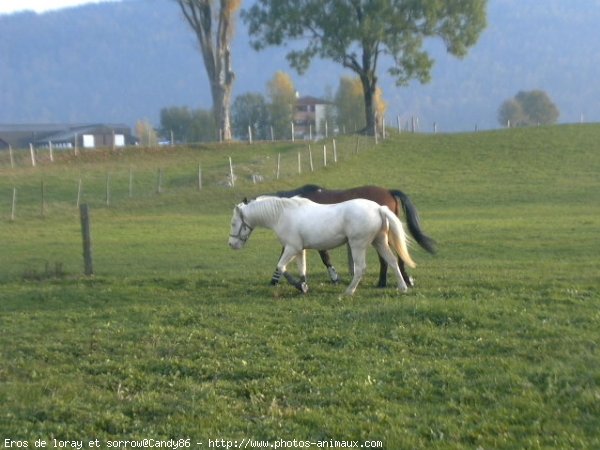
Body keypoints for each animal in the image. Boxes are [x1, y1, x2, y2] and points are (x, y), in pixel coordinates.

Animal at [227, 196, 414, 296]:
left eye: (233, 223)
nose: (231, 244)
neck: (282, 214)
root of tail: (378, 208)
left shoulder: (291, 248)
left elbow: (281, 266)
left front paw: (299, 286)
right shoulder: (300, 250)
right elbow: (302, 270)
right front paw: (303, 286)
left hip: (358, 245)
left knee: (361, 268)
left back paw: (348, 292)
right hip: (379, 242)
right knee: (392, 261)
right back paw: (402, 287)